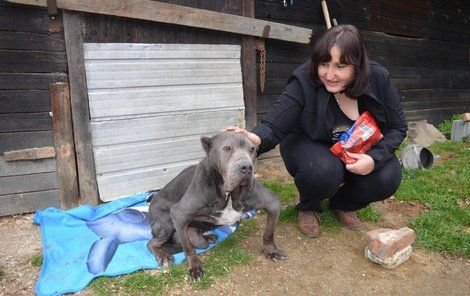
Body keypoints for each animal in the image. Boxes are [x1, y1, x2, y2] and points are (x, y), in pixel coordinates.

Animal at [148, 131, 286, 278]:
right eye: (227, 148)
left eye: (252, 149)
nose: (247, 167)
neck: (229, 193)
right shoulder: (179, 214)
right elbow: (188, 249)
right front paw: (195, 266)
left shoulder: (273, 203)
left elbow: (269, 233)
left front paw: (271, 251)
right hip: (167, 223)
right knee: (152, 243)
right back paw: (163, 256)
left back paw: (207, 237)